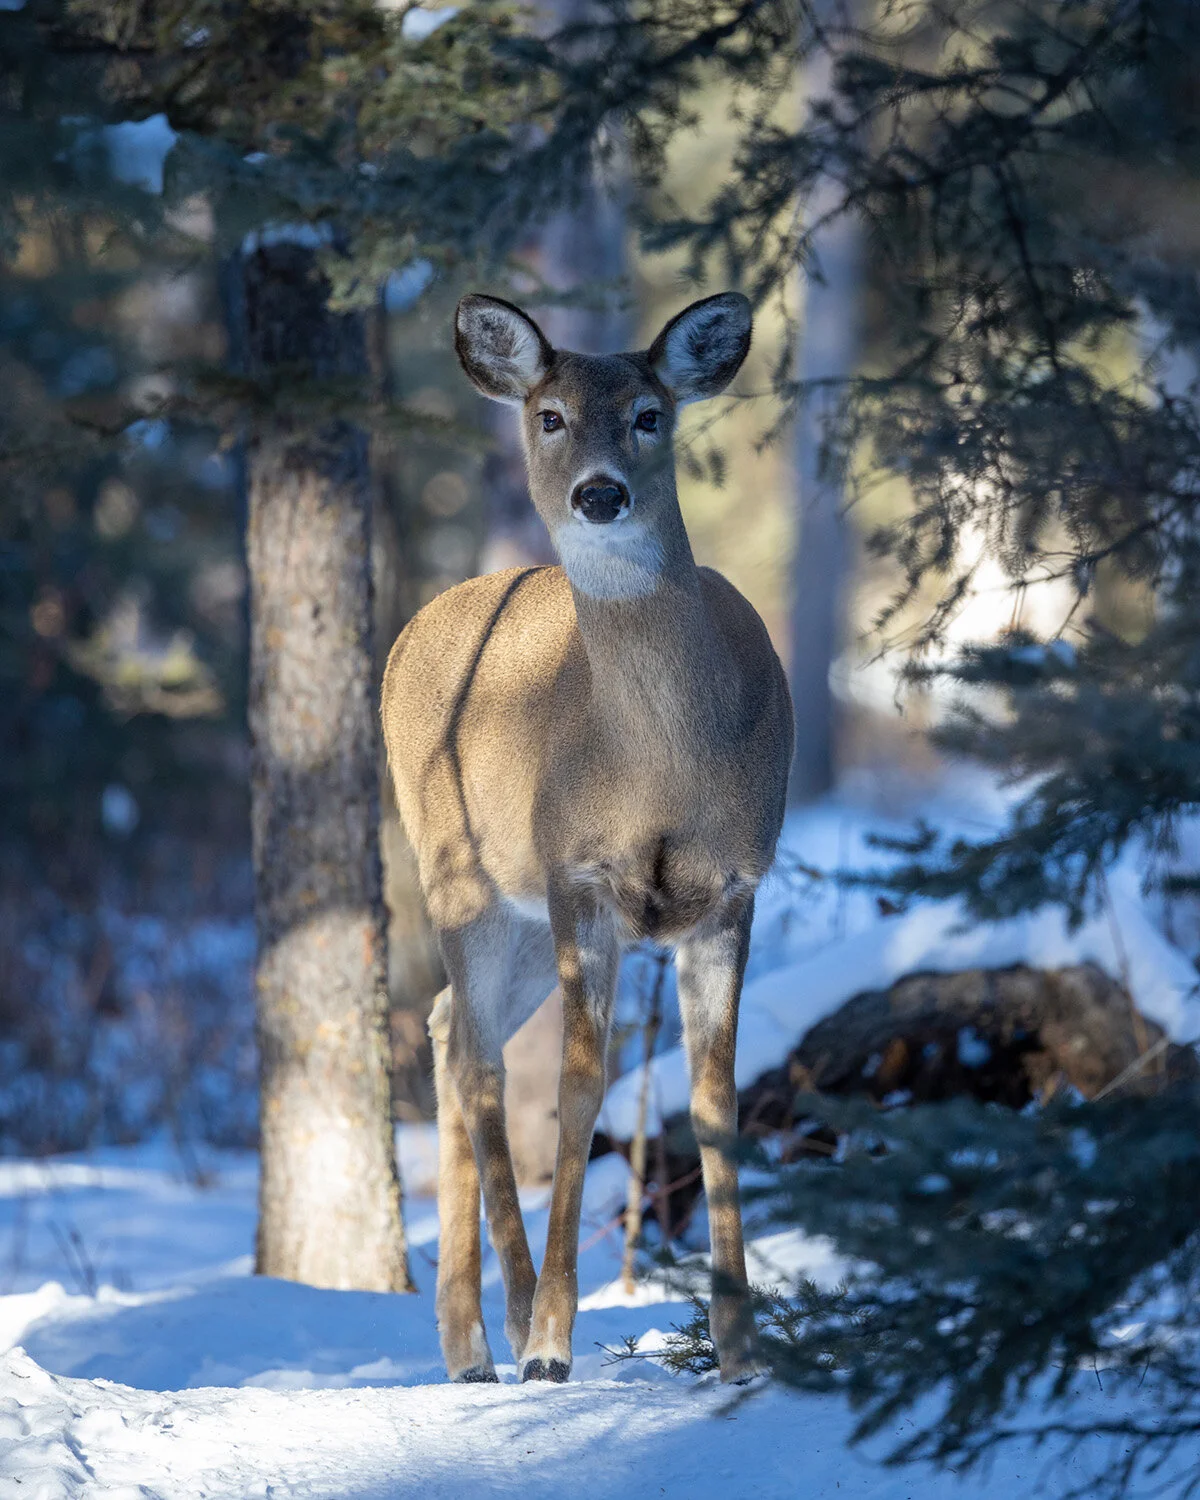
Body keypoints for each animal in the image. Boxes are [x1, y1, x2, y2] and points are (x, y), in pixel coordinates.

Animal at [381, 290, 793, 1385]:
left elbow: (715, 1102)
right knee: (480, 1061)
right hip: (458, 873)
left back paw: (466, 1343)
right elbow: (577, 1091)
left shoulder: (735, 887)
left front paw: (742, 1349)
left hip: (517, 923)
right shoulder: (579, 874)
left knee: (447, 1026)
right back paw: (509, 1326)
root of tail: (416, 626)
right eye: (552, 415)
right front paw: (556, 1341)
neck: (661, 766)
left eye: (651, 413)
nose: (600, 493)